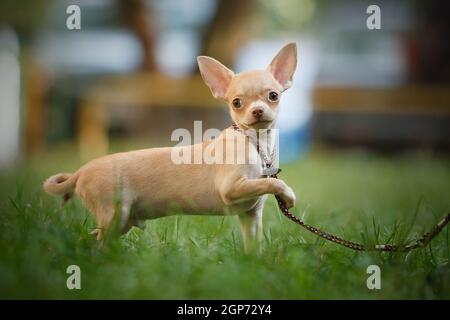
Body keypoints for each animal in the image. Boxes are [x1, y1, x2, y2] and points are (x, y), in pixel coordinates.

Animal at [43, 43, 298, 252]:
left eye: (273, 96)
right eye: (237, 103)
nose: (257, 110)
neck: (254, 142)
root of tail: (80, 172)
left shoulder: (250, 215)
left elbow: (253, 244)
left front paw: (255, 262)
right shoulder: (232, 188)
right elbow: (274, 182)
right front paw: (288, 194)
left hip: (122, 222)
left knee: (90, 237)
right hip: (115, 215)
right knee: (100, 241)